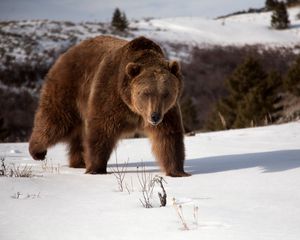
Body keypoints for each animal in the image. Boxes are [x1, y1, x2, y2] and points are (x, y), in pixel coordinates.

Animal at [29, 36, 190, 177]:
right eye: (146, 93)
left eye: (166, 93)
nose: (155, 117)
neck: (133, 108)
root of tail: (67, 52)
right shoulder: (110, 95)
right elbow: (102, 130)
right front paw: (96, 169)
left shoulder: (167, 111)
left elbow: (168, 136)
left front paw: (178, 172)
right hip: (69, 88)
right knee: (55, 120)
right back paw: (37, 151)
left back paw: (78, 162)